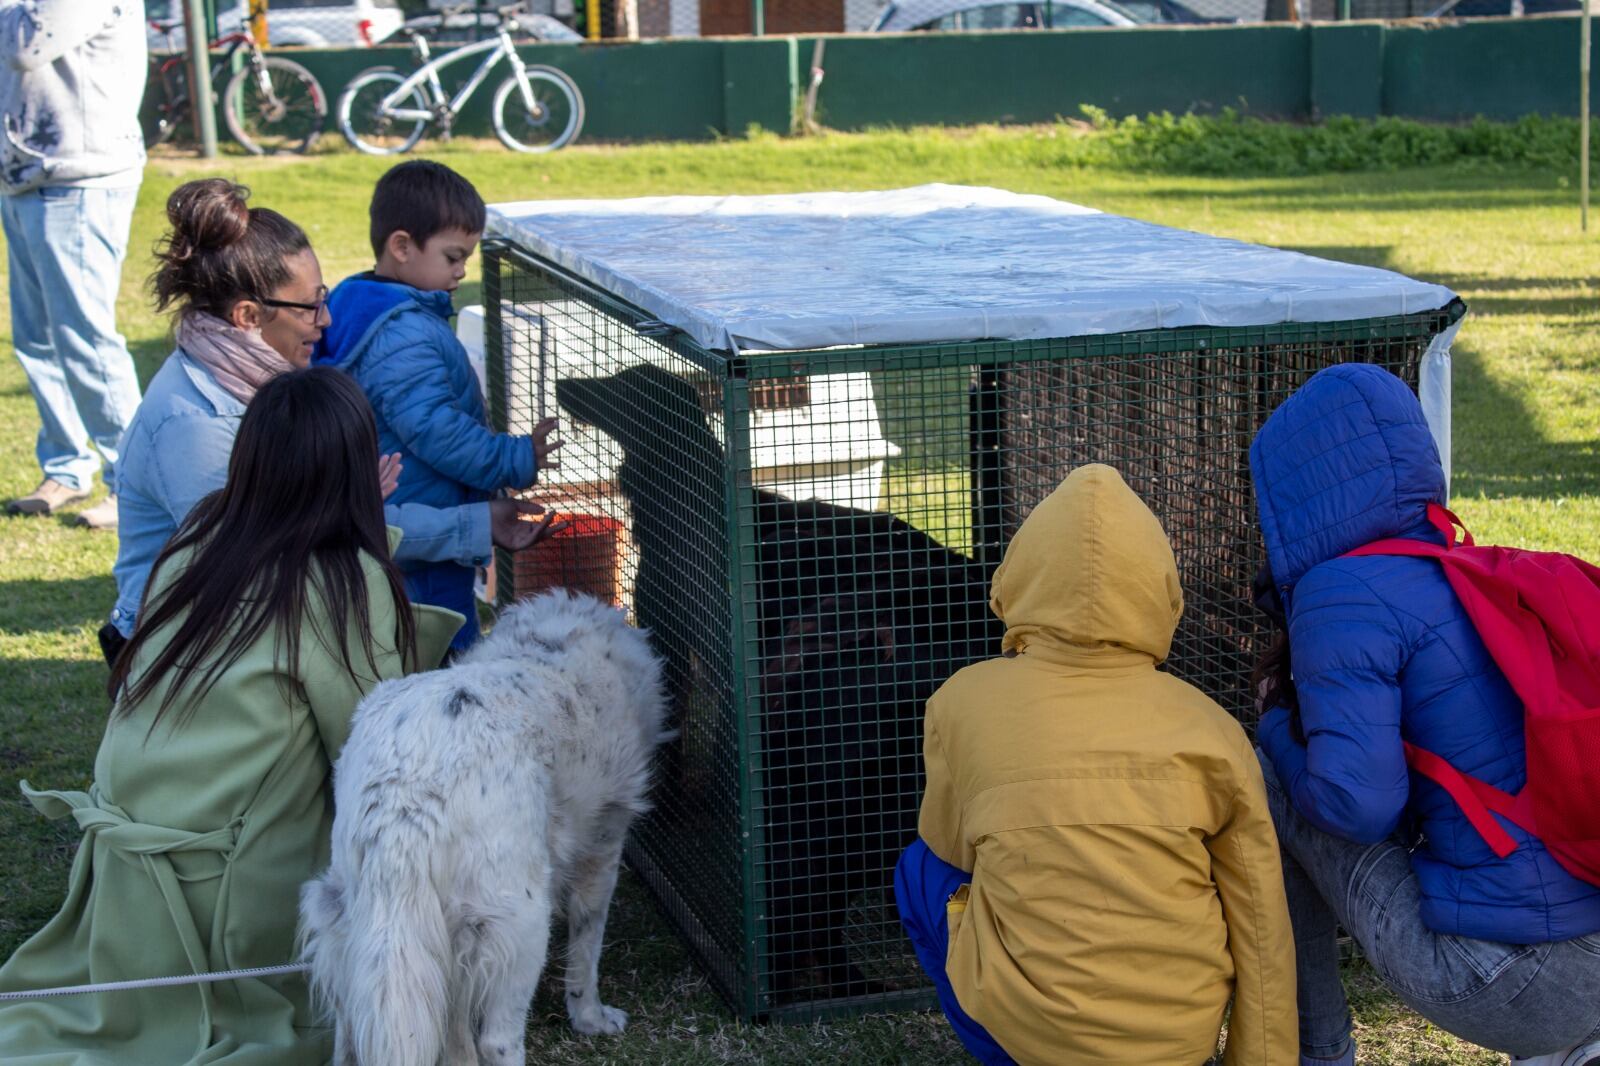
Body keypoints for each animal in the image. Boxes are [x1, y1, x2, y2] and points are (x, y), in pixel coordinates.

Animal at [300, 589, 668, 1062]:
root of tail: (405, 782)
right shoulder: (603, 845)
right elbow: (587, 948)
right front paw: (592, 1019)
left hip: (348, 915)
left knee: (350, 1033)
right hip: (520, 918)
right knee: (497, 1039)